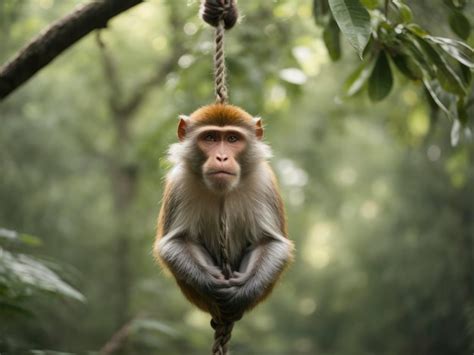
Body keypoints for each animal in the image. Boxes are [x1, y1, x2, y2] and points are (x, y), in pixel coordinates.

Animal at [153, 103, 292, 322]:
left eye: (232, 139)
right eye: (210, 137)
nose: (221, 157)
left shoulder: (263, 181)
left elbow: (270, 241)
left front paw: (241, 292)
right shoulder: (179, 182)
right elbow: (175, 241)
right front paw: (211, 284)